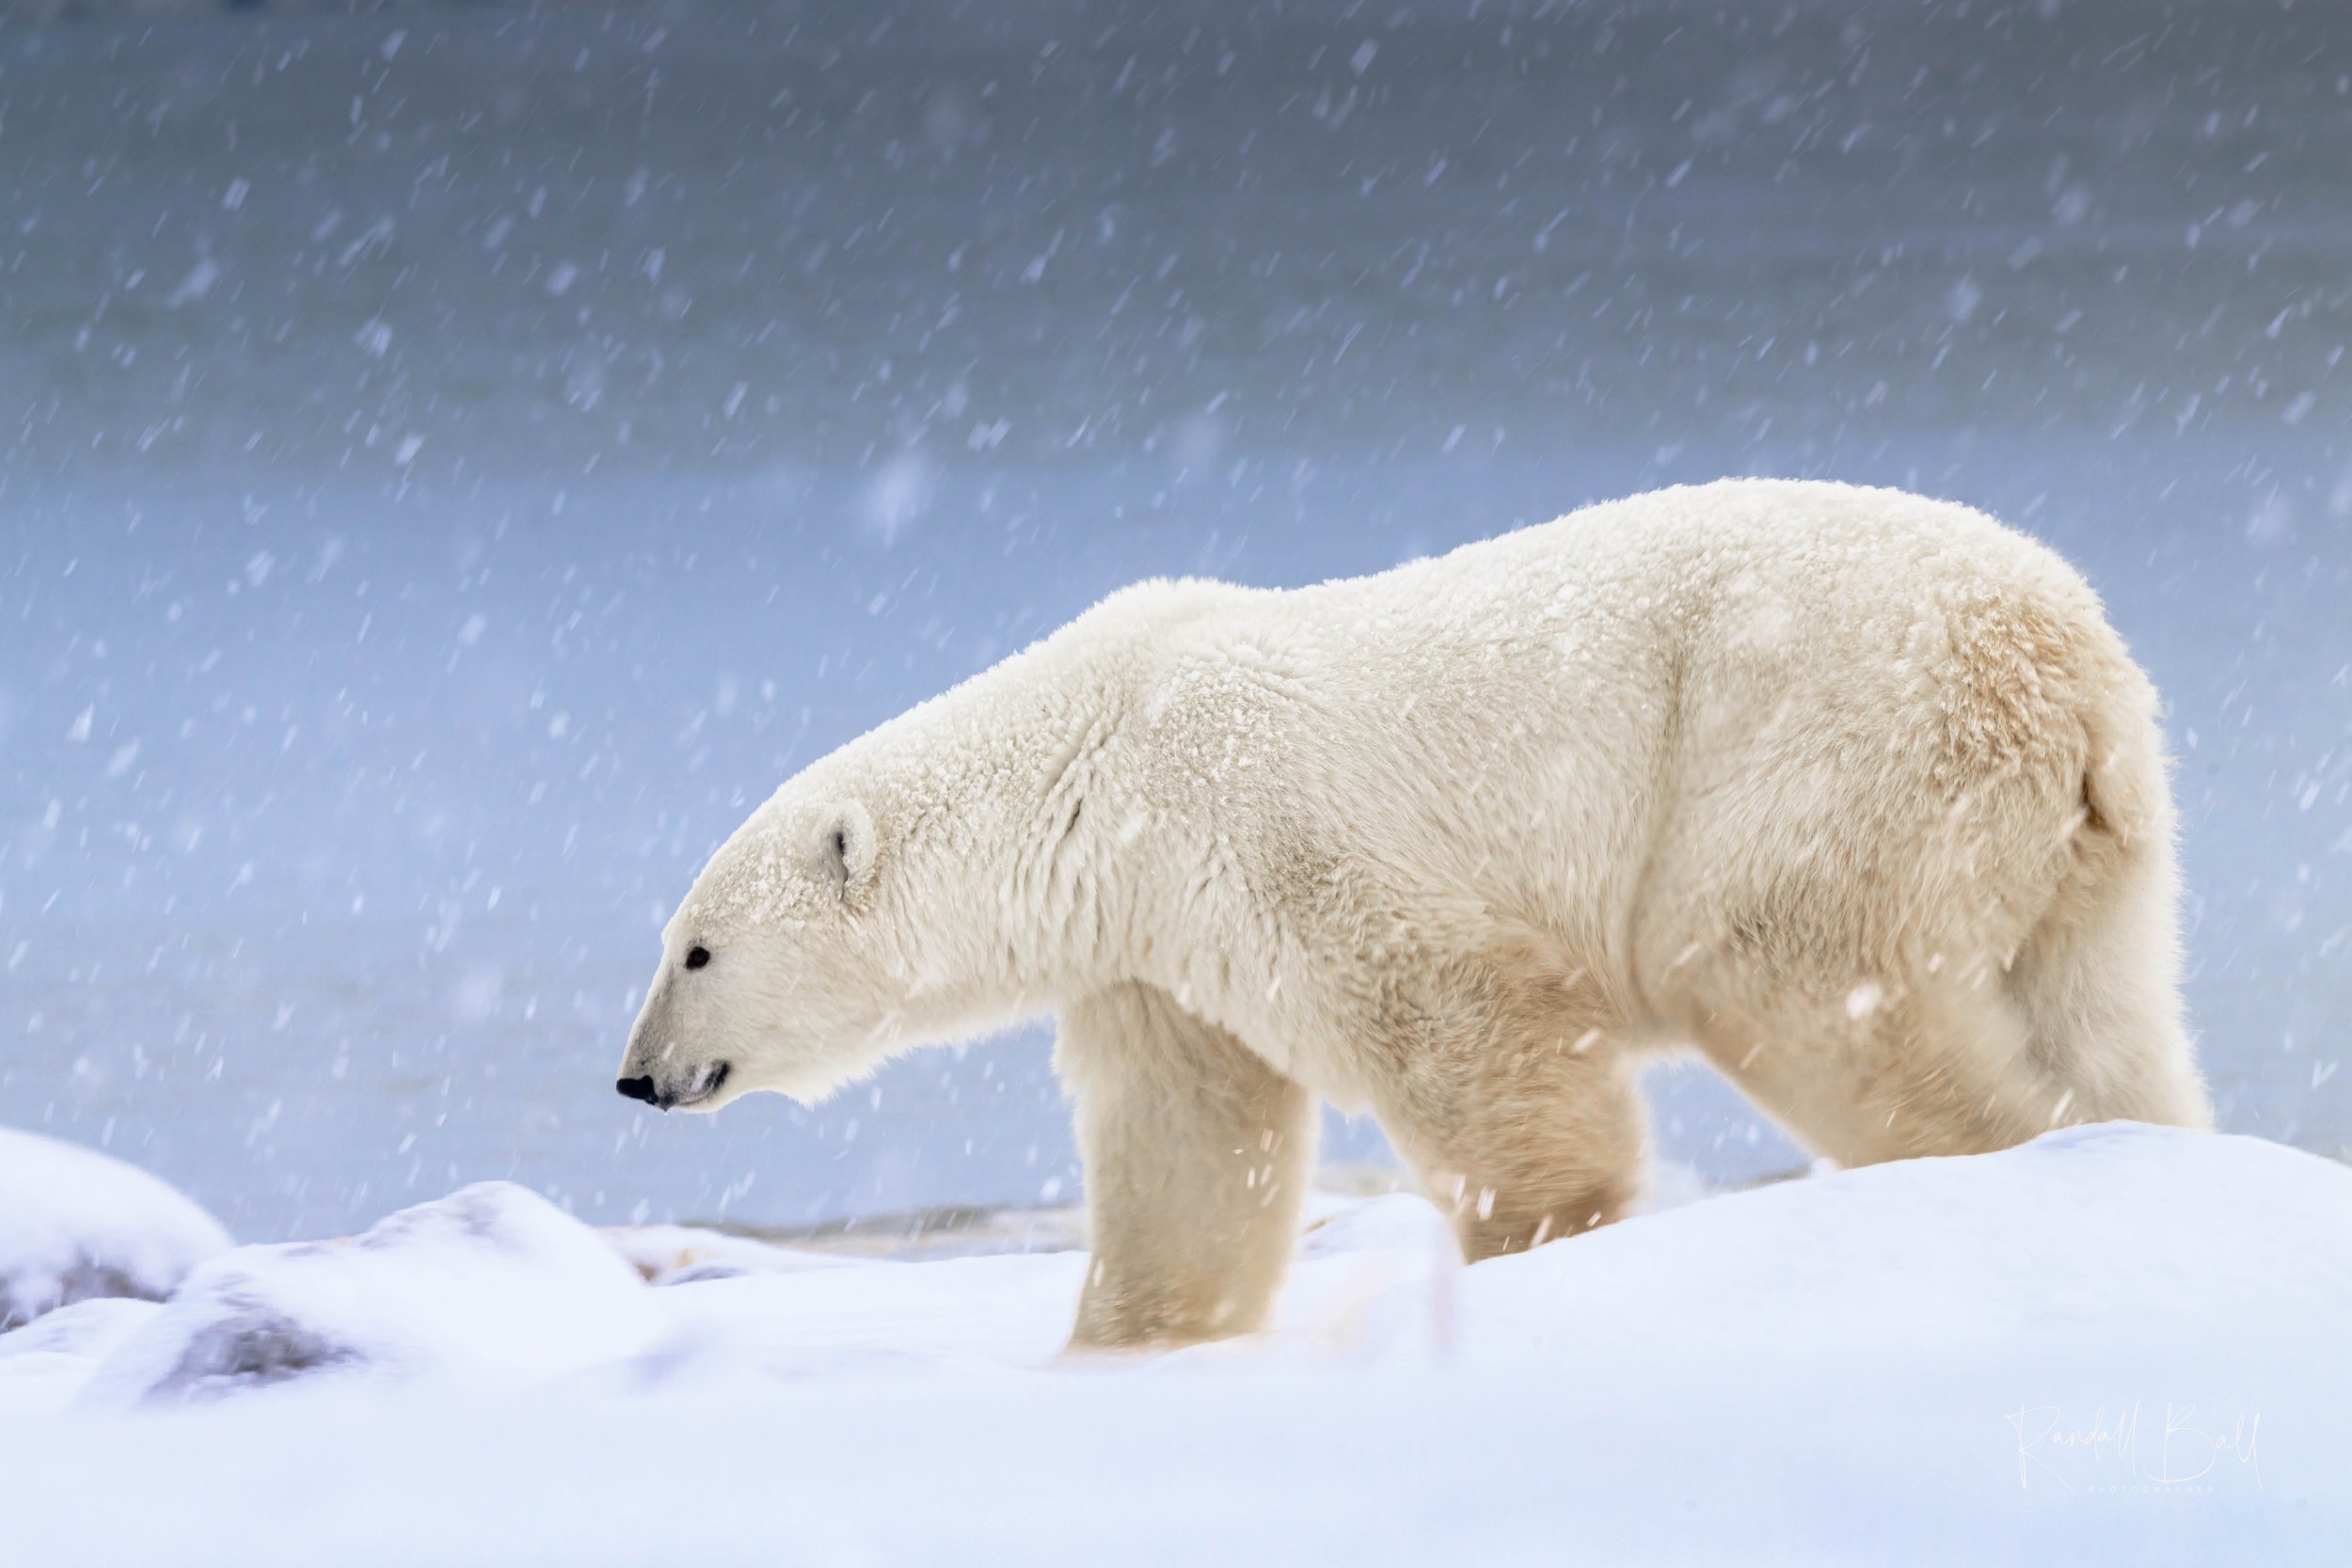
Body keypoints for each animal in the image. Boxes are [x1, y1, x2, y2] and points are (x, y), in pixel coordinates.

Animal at [615, 478, 2211, 1349]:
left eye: (694, 945)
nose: (636, 1076)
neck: (1097, 758)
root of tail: (2072, 667)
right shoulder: (1152, 950)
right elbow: (1188, 1151)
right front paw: (1123, 1347)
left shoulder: (1266, 825)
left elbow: (1467, 1025)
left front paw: (1537, 1246)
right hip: (2081, 850)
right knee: (2107, 1013)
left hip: (1822, 745)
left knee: (1784, 972)